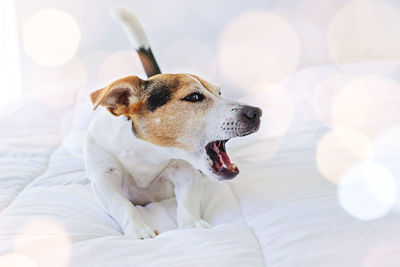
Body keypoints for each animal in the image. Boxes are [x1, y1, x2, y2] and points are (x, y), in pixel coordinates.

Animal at [83, 7, 260, 240]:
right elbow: (122, 205)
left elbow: (187, 201)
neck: (150, 154)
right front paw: (140, 230)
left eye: (219, 93)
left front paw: (192, 224)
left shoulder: (186, 172)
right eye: (194, 97)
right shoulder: (104, 178)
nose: (256, 113)